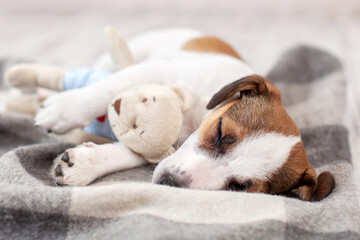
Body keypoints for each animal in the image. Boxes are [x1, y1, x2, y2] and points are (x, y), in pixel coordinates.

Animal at [9, 27, 334, 201]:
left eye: (239, 187)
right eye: (220, 133)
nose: (169, 182)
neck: (190, 121)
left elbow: (134, 151)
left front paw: (87, 163)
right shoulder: (161, 71)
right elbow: (109, 88)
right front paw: (64, 110)